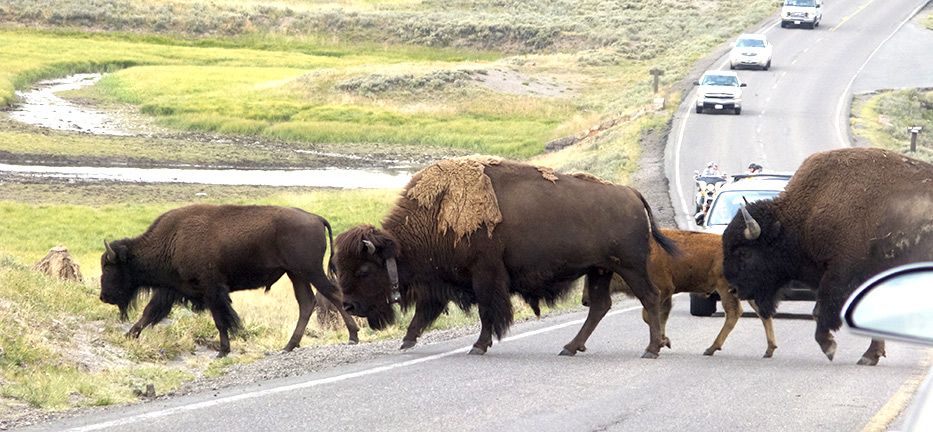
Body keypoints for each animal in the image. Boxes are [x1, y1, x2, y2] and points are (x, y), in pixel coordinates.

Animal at [99, 204, 360, 356]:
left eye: (109, 267)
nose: (104, 297)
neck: (172, 239)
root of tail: (315, 218)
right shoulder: (172, 289)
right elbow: (149, 312)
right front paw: (128, 335)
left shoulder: (212, 290)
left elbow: (221, 320)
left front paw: (222, 351)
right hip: (295, 273)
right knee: (307, 303)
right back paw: (288, 346)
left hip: (310, 270)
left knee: (333, 295)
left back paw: (353, 336)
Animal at [332, 157, 672, 356]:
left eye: (364, 270)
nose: (348, 305)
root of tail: (630, 193)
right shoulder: (440, 282)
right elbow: (425, 312)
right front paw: (407, 341)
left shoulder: (485, 276)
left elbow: (487, 312)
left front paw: (478, 346)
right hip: (600, 270)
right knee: (601, 306)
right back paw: (570, 347)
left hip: (629, 267)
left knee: (650, 297)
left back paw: (651, 349)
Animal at [588, 230, 780, 358]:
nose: (585, 301)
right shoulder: (667, 295)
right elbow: (659, 316)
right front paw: (664, 341)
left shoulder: (663, 290)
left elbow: (650, 315)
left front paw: (662, 342)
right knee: (762, 313)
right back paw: (769, 350)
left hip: (726, 289)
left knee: (734, 312)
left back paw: (711, 349)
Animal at [720, 148, 932, 364]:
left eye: (744, 252)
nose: (734, 290)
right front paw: (870, 356)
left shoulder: (839, 275)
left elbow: (820, 311)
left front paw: (829, 347)